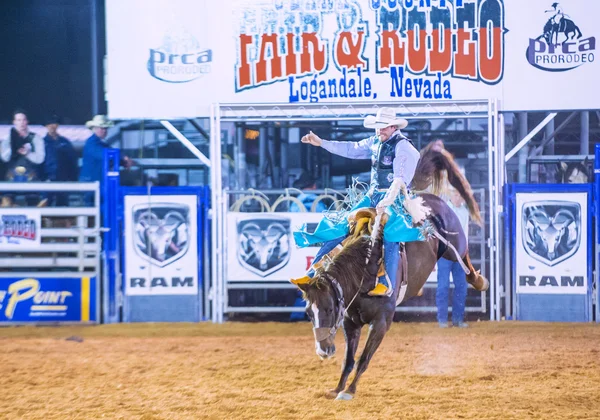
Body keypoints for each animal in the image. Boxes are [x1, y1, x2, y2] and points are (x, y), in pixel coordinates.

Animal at [288, 144, 490, 400]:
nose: (323, 350)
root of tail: (424, 201)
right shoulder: (350, 323)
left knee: (464, 260)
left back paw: (480, 281)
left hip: (456, 243)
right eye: (308, 312)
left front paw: (349, 391)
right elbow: (348, 360)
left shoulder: (382, 322)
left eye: (329, 309)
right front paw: (337, 388)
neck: (364, 272)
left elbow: (364, 358)